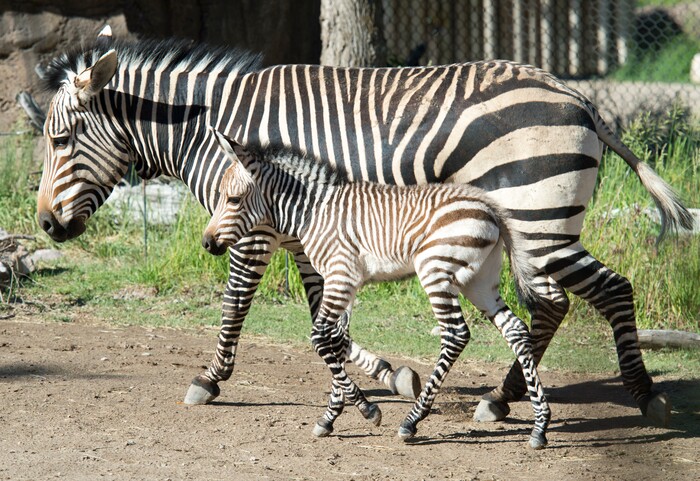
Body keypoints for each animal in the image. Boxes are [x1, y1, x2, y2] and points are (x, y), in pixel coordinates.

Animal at [203, 131, 551, 448]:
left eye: (233, 199)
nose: (207, 244)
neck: (314, 211)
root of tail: (488, 204)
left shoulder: (340, 275)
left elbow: (320, 337)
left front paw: (367, 410)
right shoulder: (346, 282)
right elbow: (336, 339)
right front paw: (331, 415)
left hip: (435, 271)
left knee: (456, 335)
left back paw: (412, 421)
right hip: (478, 281)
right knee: (516, 330)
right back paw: (540, 426)